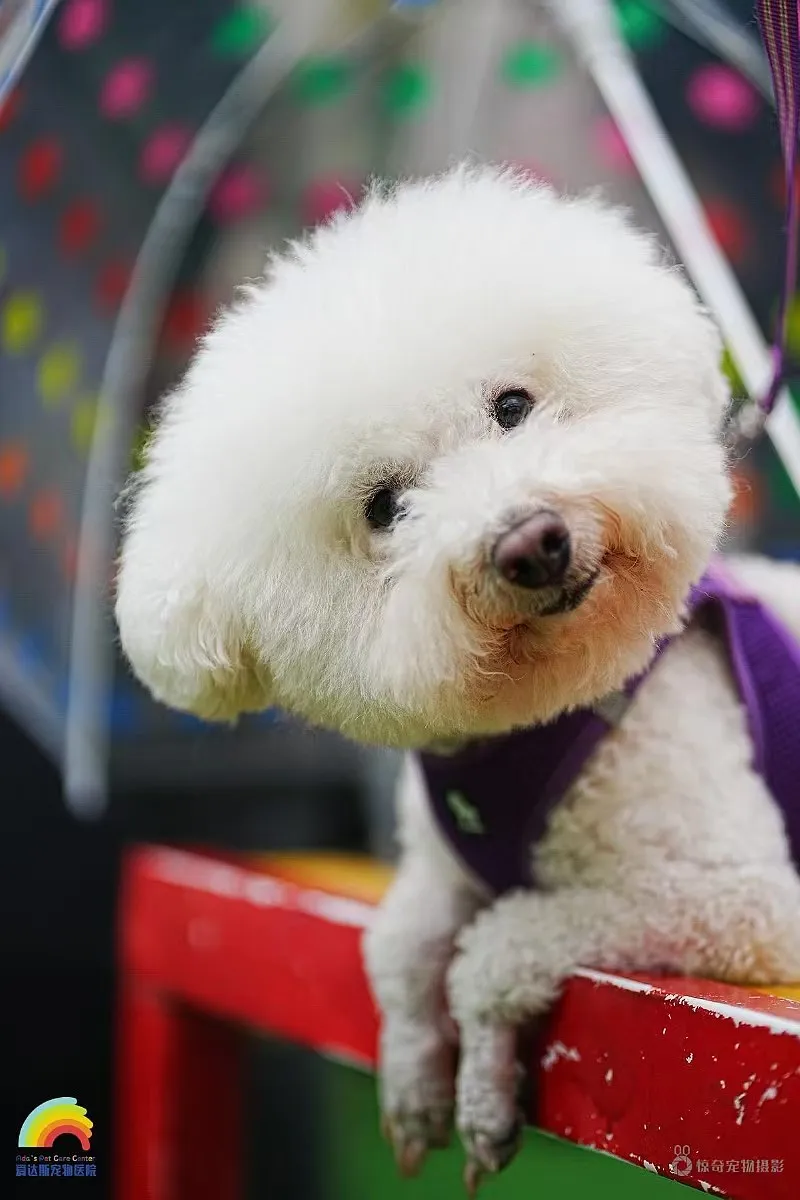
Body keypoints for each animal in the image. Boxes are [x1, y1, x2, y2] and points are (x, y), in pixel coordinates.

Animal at [115, 165, 800, 1188]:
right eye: (386, 507)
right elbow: (400, 950)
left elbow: (496, 949)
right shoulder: (439, 866)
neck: (540, 719)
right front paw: (421, 1081)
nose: (531, 541)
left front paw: (480, 1074)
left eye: (511, 407)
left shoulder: (742, 900)